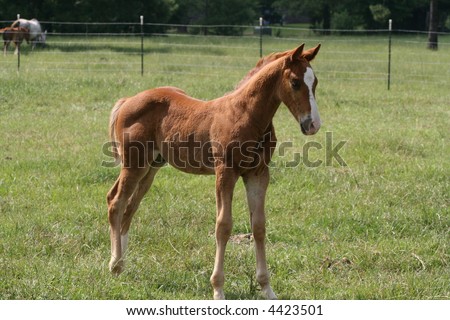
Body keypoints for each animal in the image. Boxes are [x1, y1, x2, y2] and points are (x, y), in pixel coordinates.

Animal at [107, 43, 322, 300]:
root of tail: (128, 99)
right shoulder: (225, 173)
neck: (246, 114)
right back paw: (114, 264)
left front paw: (267, 289)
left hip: (151, 167)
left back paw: (123, 263)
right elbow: (223, 225)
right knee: (116, 202)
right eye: (295, 82)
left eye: (315, 81)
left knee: (130, 207)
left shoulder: (258, 173)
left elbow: (259, 225)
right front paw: (218, 289)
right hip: (134, 164)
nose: (313, 125)